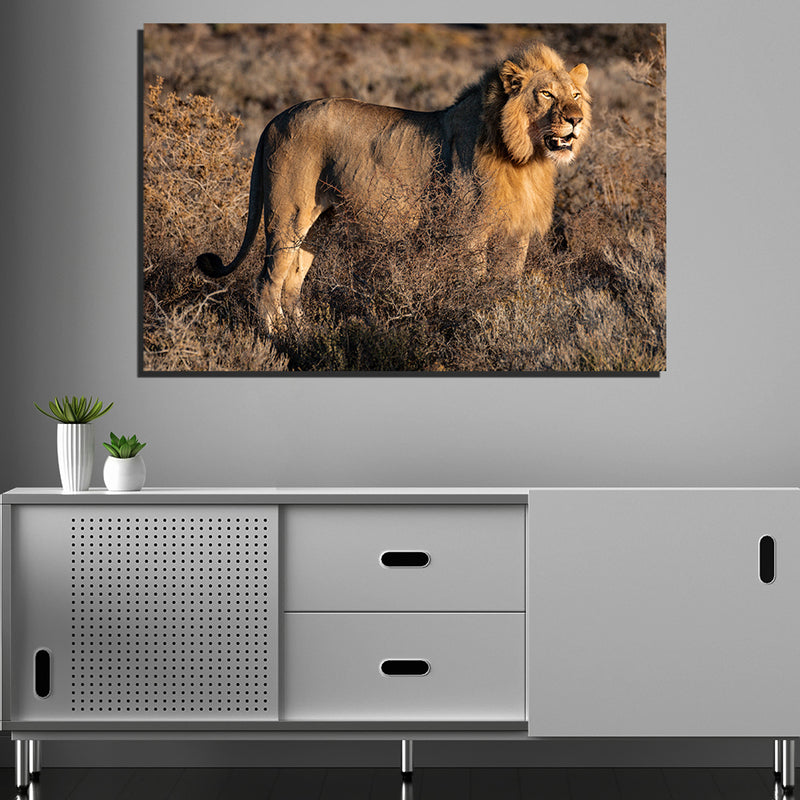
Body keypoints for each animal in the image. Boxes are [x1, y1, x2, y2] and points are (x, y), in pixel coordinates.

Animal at [196, 42, 590, 328]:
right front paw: (474, 321)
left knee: (293, 281)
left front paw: (503, 320)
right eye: (546, 95)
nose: (575, 120)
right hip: (287, 215)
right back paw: (275, 338)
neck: (525, 158)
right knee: (267, 280)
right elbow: (474, 285)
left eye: (575, 95)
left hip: (319, 224)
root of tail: (275, 118)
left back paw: (302, 334)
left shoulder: (516, 234)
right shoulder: (470, 233)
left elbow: (506, 287)